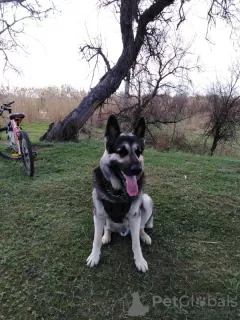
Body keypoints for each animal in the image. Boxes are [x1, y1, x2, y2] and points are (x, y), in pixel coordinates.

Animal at [86, 114, 154, 272]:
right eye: (121, 151)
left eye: (138, 152)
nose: (137, 169)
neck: (118, 192)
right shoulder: (98, 215)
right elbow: (95, 240)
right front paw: (94, 257)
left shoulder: (135, 216)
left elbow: (135, 244)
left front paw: (139, 261)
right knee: (107, 228)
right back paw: (106, 236)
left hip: (147, 201)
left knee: (141, 228)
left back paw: (144, 236)